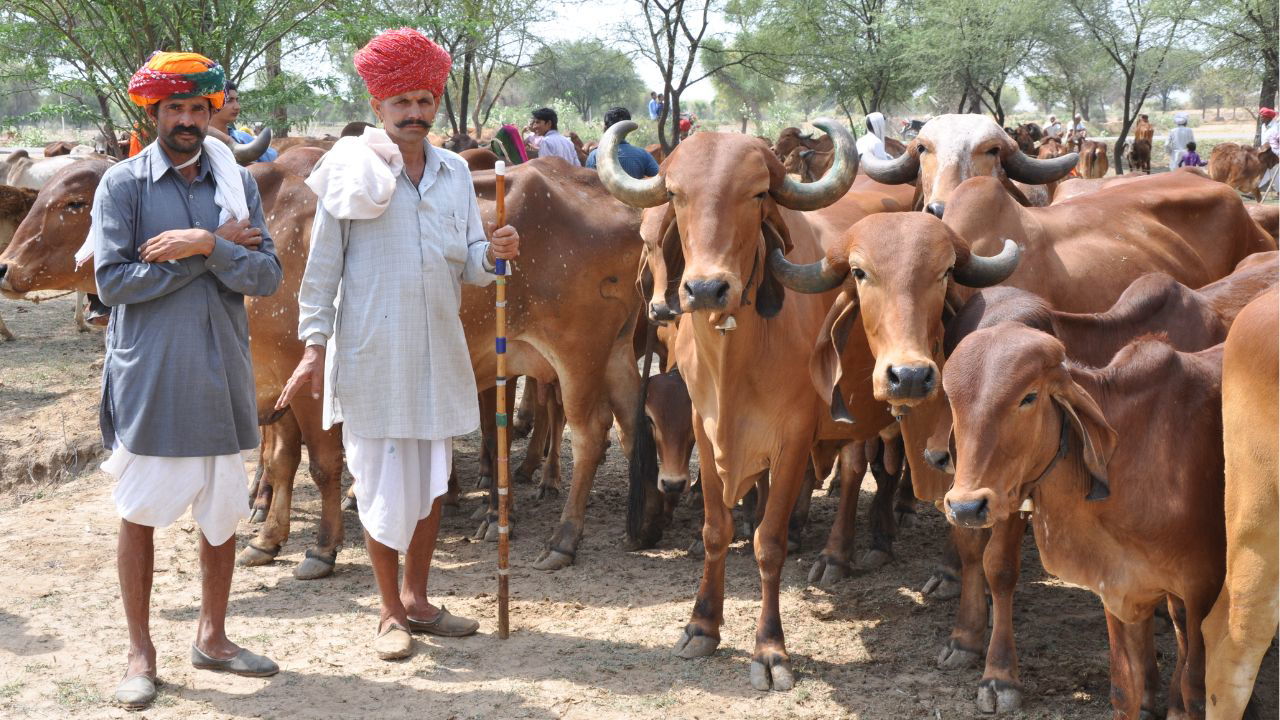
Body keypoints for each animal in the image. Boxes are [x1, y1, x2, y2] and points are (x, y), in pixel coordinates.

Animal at [947, 324, 1223, 717]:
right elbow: (1124, 689)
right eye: (952, 400)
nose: (967, 508)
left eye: (1028, 397)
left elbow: (1199, 692)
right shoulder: (1118, 586)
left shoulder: (1205, 587)